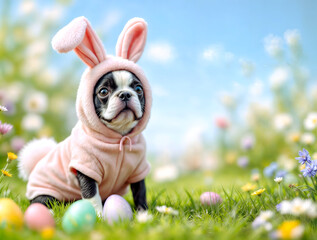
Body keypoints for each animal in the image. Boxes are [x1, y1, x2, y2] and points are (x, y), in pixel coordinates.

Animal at [18, 16, 152, 216]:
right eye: (103, 91)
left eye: (138, 89)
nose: (125, 94)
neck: (118, 137)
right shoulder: (86, 168)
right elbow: (92, 195)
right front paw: (98, 216)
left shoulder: (138, 170)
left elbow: (140, 191)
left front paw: (144, 215)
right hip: (46, 193)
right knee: (42, 202)